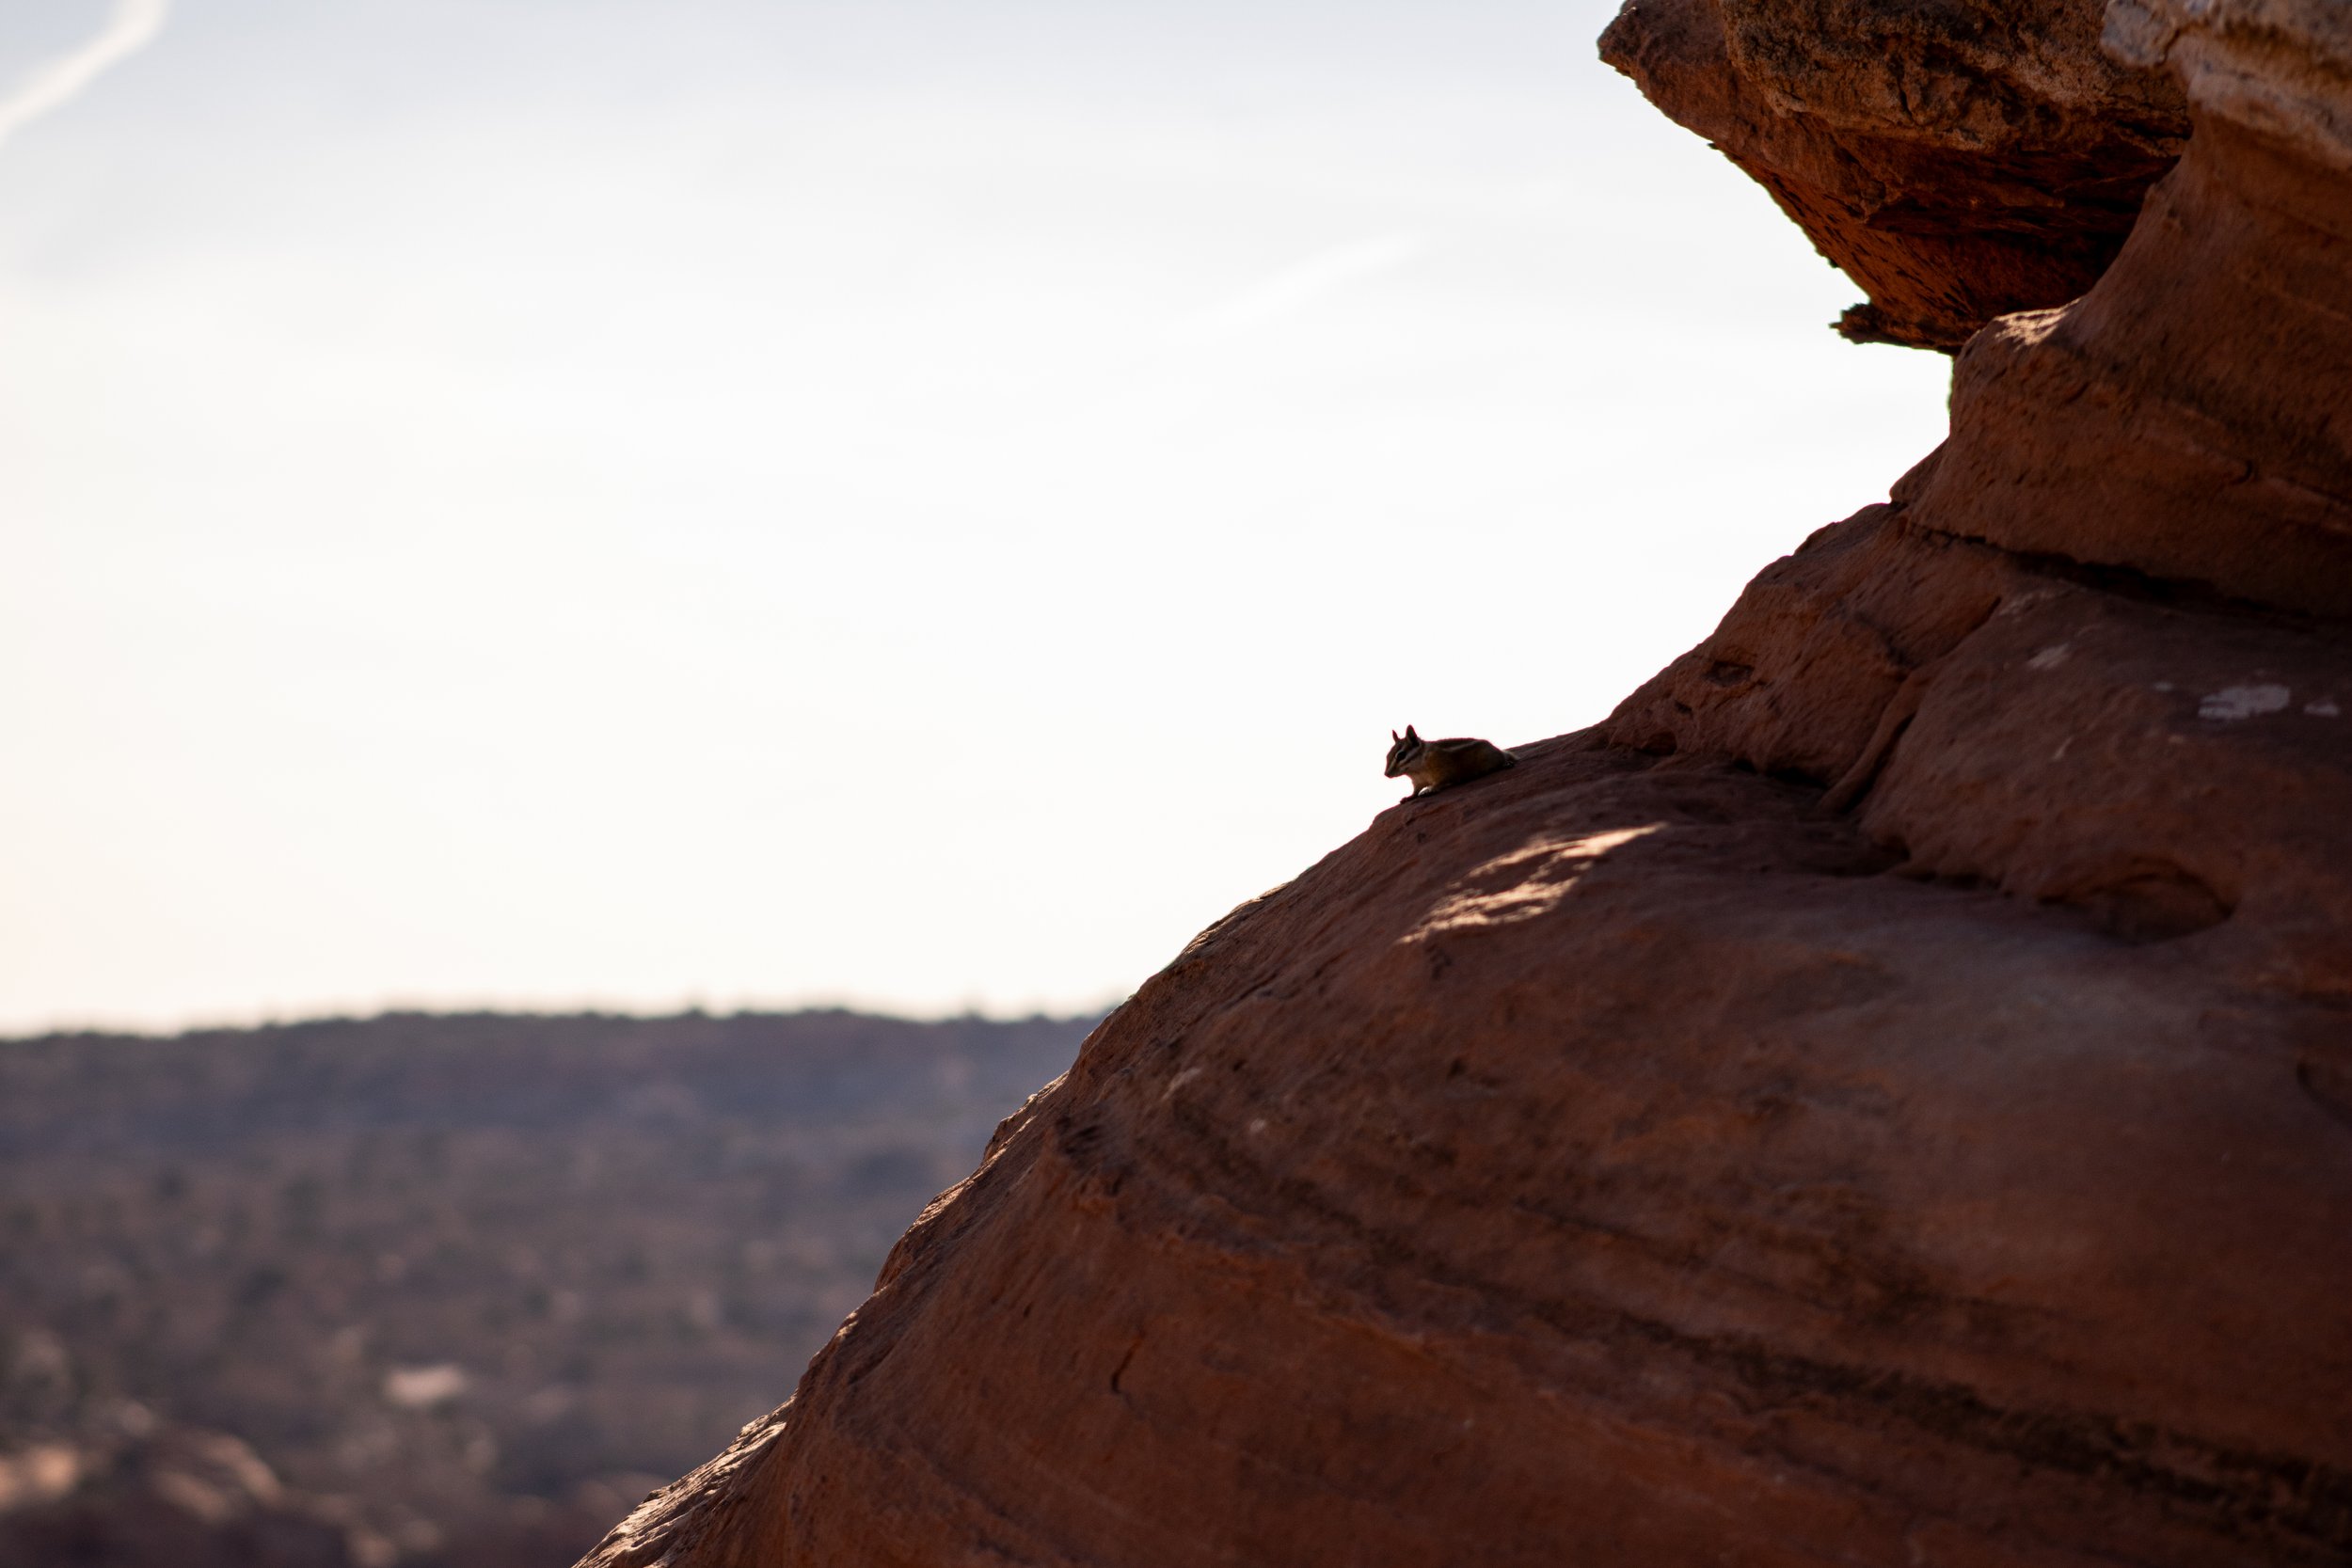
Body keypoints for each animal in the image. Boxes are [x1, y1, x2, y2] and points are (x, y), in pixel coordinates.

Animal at [1383, 725, 1517, 799]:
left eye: (1401, 755)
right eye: (1387, 755)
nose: (1386, 774)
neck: (1417, 770)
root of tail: (1496, 749)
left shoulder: (1442, 770)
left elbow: (1440, 781)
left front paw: (1431, 789)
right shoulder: (1417, 781)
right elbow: (1415, 791)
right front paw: (1410, 796)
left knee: (1504, 758)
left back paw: (1506, 763)